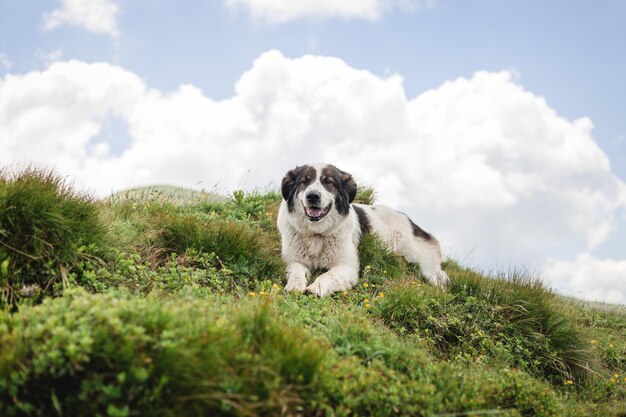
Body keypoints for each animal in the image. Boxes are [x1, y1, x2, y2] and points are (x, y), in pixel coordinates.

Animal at [276, 162, 446, 296]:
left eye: (328, 182)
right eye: (304, 181)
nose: (312, 196)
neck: (316, 234)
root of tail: (409, 220)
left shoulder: (346, 266)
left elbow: (328, 275)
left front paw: (315, 288)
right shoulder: (294, 260)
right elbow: (296, 270)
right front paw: (294, 285)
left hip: (416, 257)